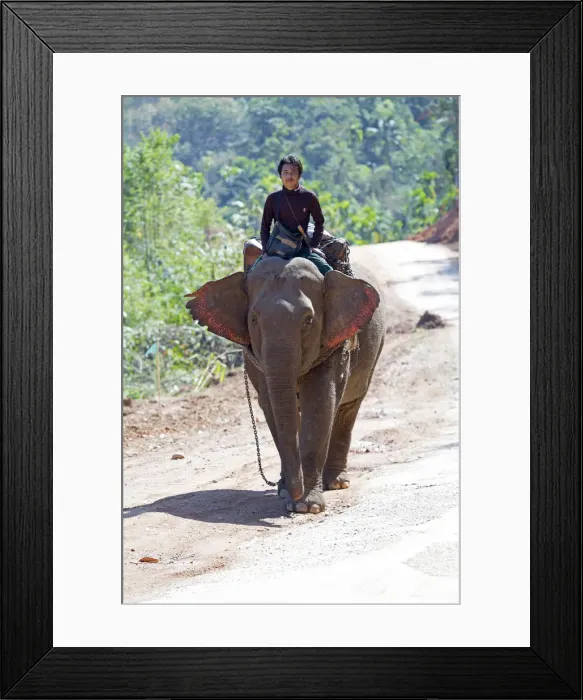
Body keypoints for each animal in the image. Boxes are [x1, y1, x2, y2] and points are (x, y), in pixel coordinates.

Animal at [186, 255, 387, 514]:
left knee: (348, 407)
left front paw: (307, 506)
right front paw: (289, 495)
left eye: (308, 320)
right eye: (253, 319)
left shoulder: (335, 345)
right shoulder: (256, 359)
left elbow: (321, 402)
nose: (294, 493)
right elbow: (271, 405)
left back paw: (336, 483)